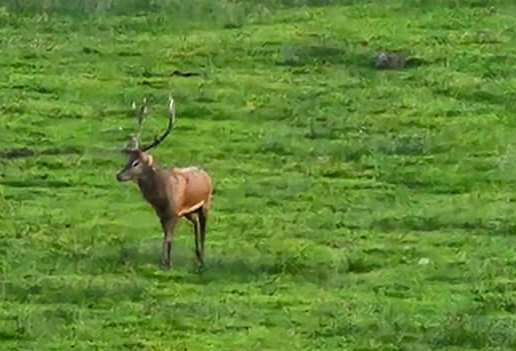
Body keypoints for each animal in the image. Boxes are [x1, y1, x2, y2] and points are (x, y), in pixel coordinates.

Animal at [116, 95, 213, 270]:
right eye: (128, 160)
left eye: (136, 163)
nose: (119, 176)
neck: (160, 197)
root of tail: (207, 175)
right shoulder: (162, 214)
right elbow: (166, 236)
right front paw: (167, 261)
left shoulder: (173, 211)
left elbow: (168, 237)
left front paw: (165, 263)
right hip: (188, 212)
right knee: (195, 222)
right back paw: (196, 255)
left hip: (205, 203)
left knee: (203, 227)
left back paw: (202, 259)